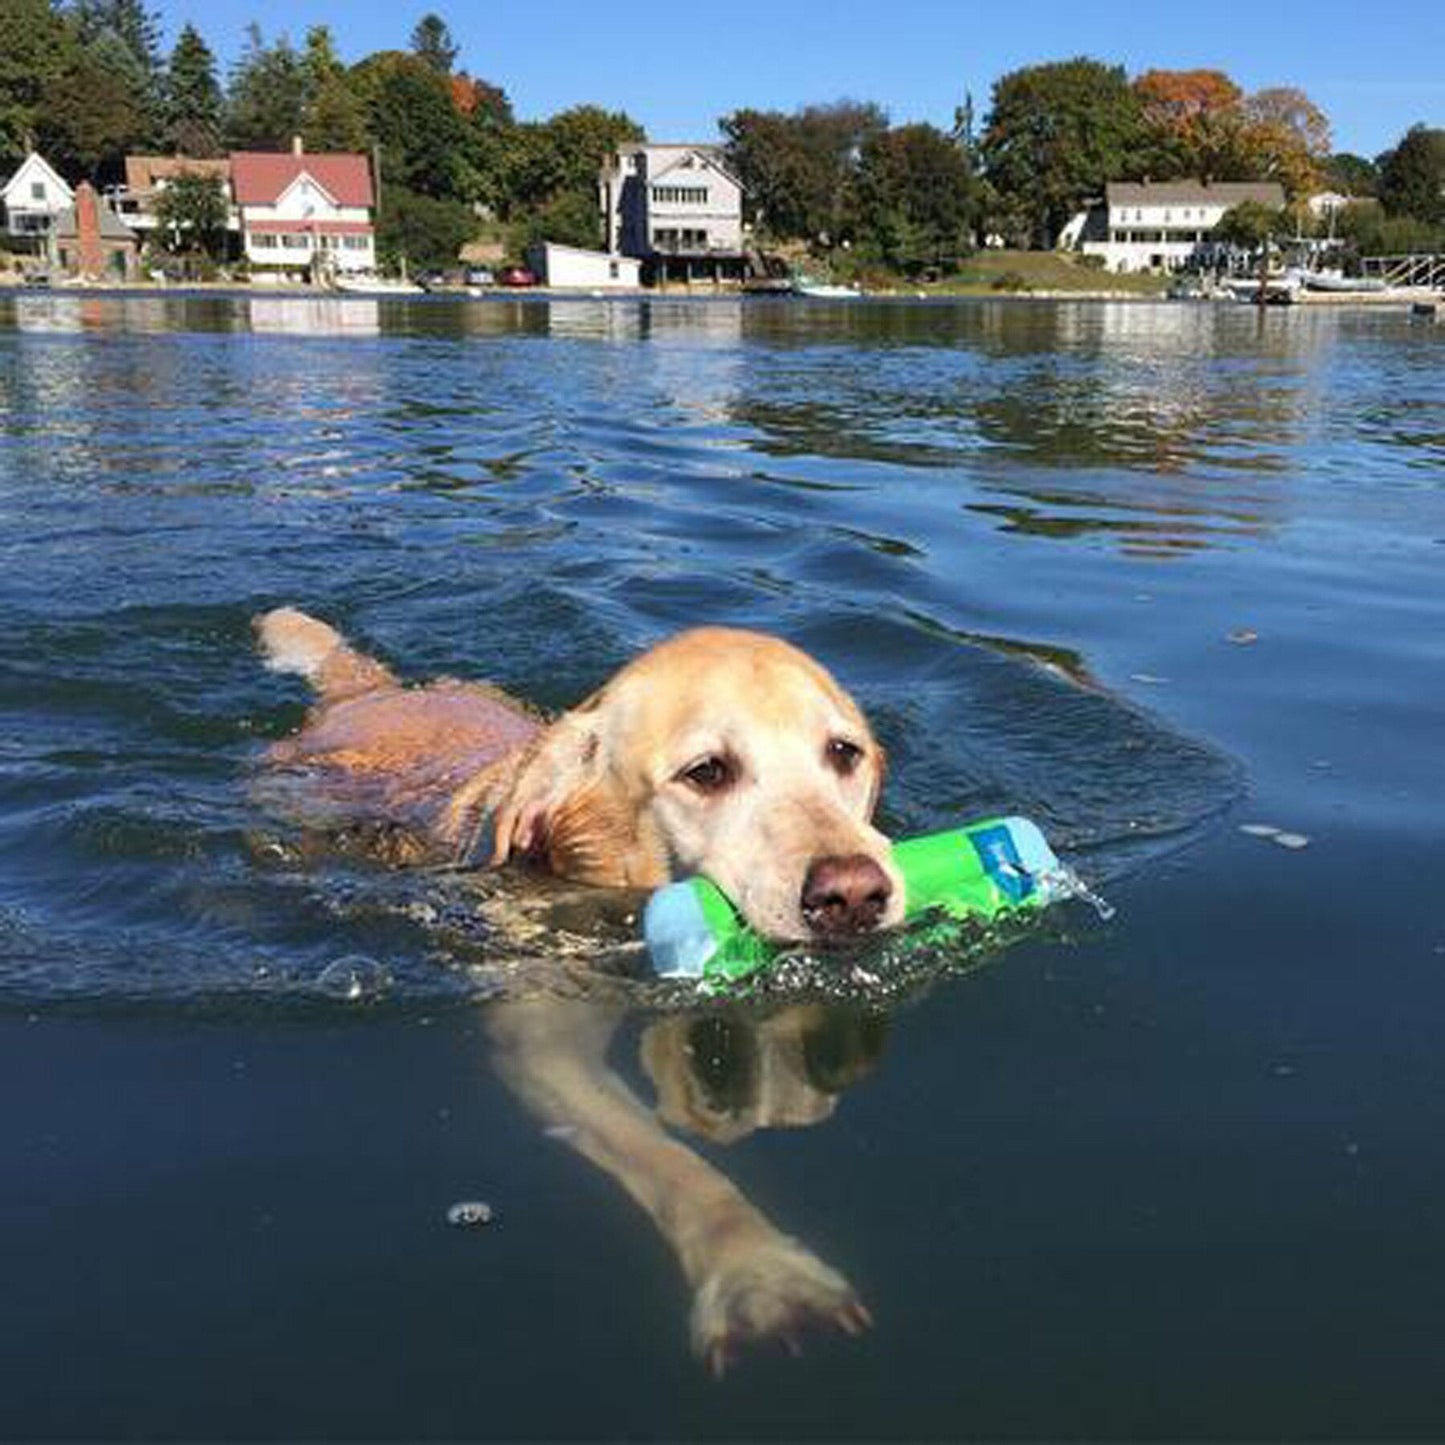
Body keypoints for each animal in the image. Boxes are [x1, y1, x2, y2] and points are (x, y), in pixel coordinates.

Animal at [260, 606, 890, 1364]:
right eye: (707, 771)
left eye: (844, 753)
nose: (853, 894)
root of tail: (372, 692)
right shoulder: (543, 1048)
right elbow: (666, 1157)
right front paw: (758, 1272)